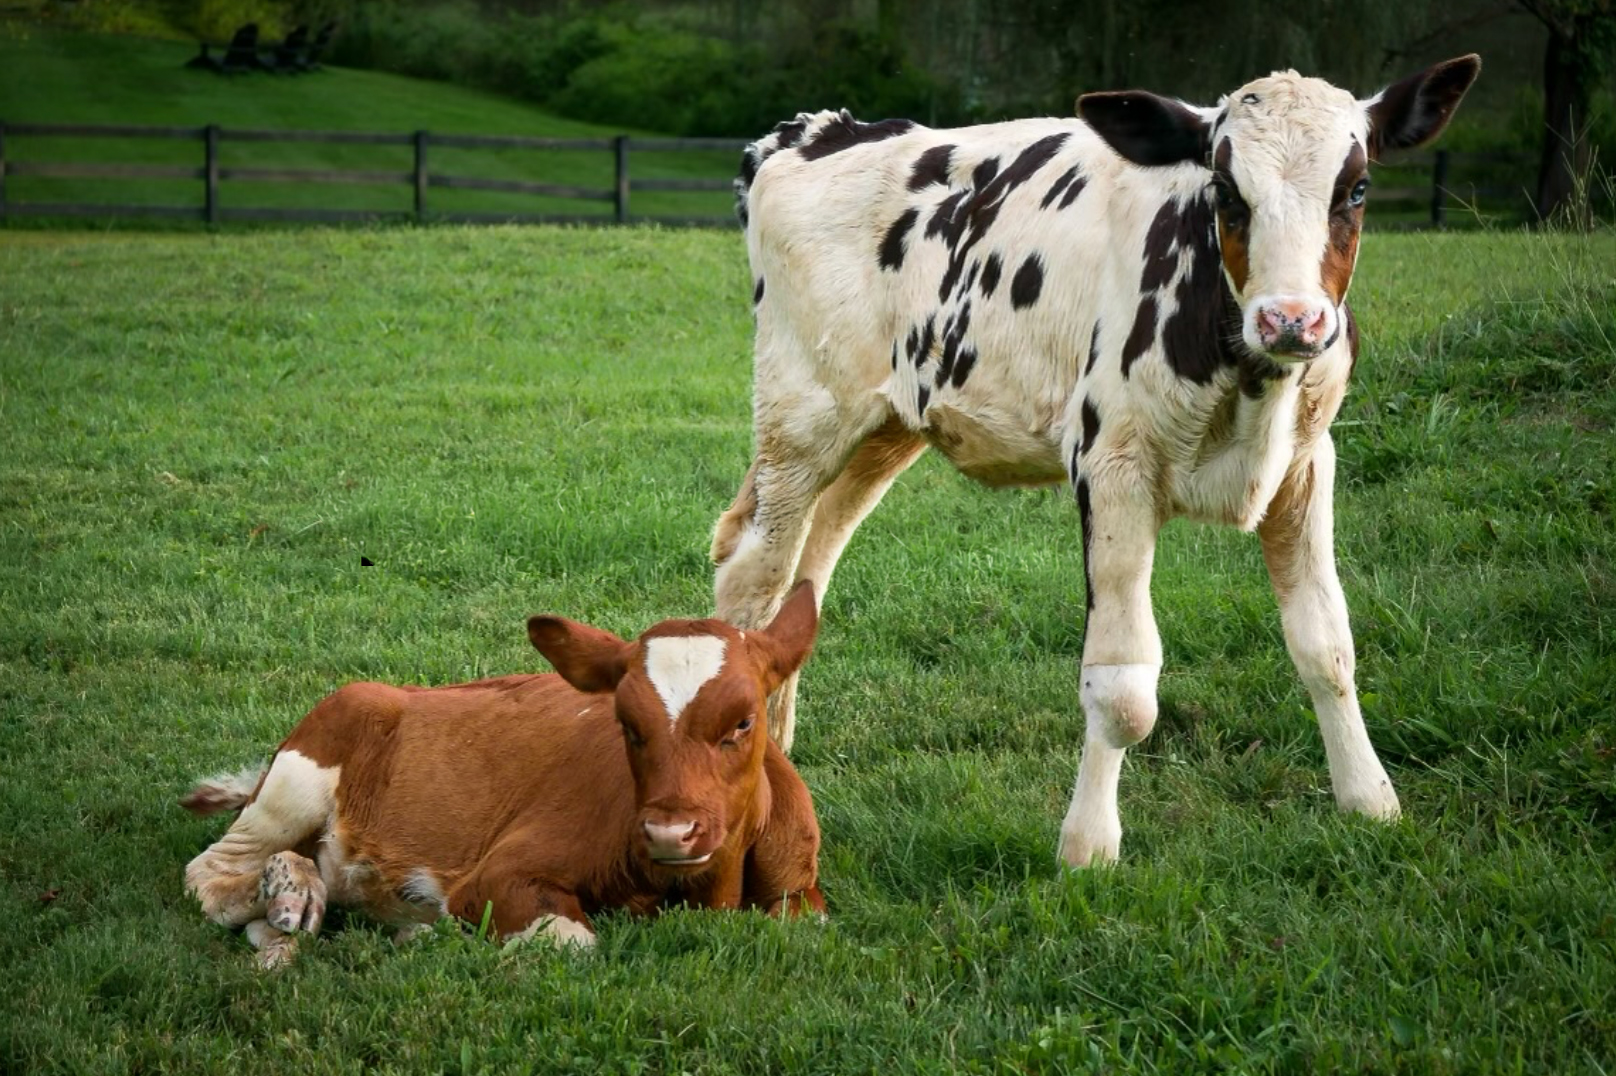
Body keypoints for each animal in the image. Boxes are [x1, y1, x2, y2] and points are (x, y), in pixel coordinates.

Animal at [182, 582, 825, 968]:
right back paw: (292, 895)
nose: (670, 831)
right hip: (301, 773)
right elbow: (574, 943)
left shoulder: (799, 892)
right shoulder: (497, 876)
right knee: (209, 876)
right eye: (626, 723)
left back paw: (291, 917)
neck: (696, 892)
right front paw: (436, 933)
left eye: (743, 721)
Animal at [711, 58, 1481, 868]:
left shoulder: (1305, 465)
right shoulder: (1112, 469)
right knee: (754, 575)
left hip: (888, 424)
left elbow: (1327, 646)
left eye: (1356, 190)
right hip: (803, 420)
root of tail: (815, 131)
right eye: (1225, 189)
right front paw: (1089, 846)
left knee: (812, 564)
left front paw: (1370, 801)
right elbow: (1123, 686)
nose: (1292, 320)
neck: (1248, 379)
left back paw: (781, 754)